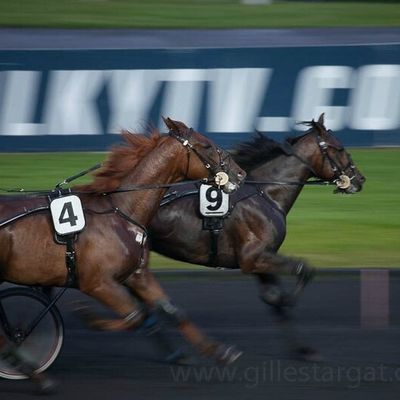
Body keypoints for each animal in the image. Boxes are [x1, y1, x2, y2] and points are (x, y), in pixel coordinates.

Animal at [0, 118, 244, 368]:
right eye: (206, 145)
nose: (240, 173)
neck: (122, 210)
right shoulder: (97, 283)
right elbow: (136, 317)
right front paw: (89, 318)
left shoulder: (137, 275)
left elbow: (172, 311)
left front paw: (219, 352)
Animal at [148, 113, 366, 360]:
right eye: (340, 148)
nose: (360, 179)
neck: (266, 193)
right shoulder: (253, 257)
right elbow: (304, 270)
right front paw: (288, 300)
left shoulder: (262, 259)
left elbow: (274, 297)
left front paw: (302, 348)